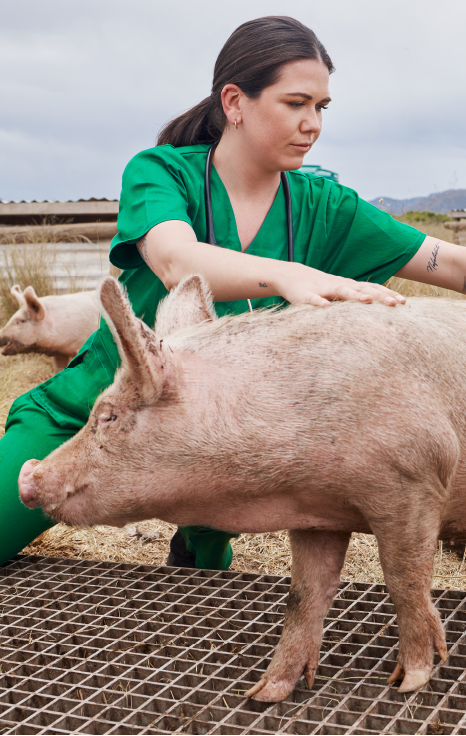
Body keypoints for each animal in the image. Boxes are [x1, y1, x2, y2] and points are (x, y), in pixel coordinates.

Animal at [17, 274, 466, 700]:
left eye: (108, 416)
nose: (27, 474)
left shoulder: (415, 481)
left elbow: (404, 581)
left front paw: (410, 682)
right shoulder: (318, 515)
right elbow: (304, 596)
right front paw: (264, 694)